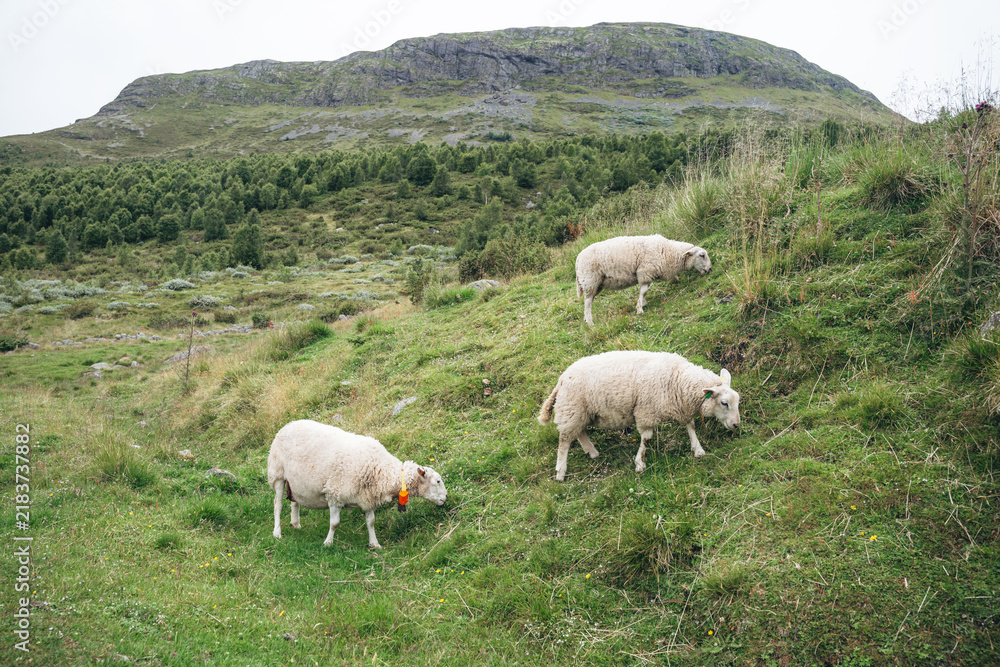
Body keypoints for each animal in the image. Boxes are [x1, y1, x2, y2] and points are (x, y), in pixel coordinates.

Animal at [267, 420, 447, 549]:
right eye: (437, 481)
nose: (445, 498)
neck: (380, 469)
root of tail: (288, 425)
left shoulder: (367, 498)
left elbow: (371, 522)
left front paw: (375, 544)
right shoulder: (334, 495)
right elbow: (334, 523)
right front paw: (328, 543)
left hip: (294, 481)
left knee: (294, 502)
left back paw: (296, 524)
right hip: (278, 474)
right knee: (277, 504)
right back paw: (277, 532)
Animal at [538, 351, 740, 481]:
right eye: (724, 403)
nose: (736, 425)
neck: (678, 379)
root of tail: (562, 379)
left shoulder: (681, 406)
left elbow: (690, 426)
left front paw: (698, 449)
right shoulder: (646, 411)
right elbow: (647, 438)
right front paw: (640, 464)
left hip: (580, 412)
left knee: (579, 433)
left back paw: (592, 452)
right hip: (572, 409)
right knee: (564, 441)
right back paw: (560, 472)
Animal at [575, 235, 712, 325]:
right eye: (702, 255)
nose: (710, 269)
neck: (667, 251)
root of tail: (578, 259)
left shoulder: (647, 274)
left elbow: (645, 291)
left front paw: (643, 303)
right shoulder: (645, 272)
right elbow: (644, 291)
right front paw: (640, 308)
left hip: (595, 284)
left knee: (588, 301)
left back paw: (586, 319)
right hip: (590, 281)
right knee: (588, 303)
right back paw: (590, 322)